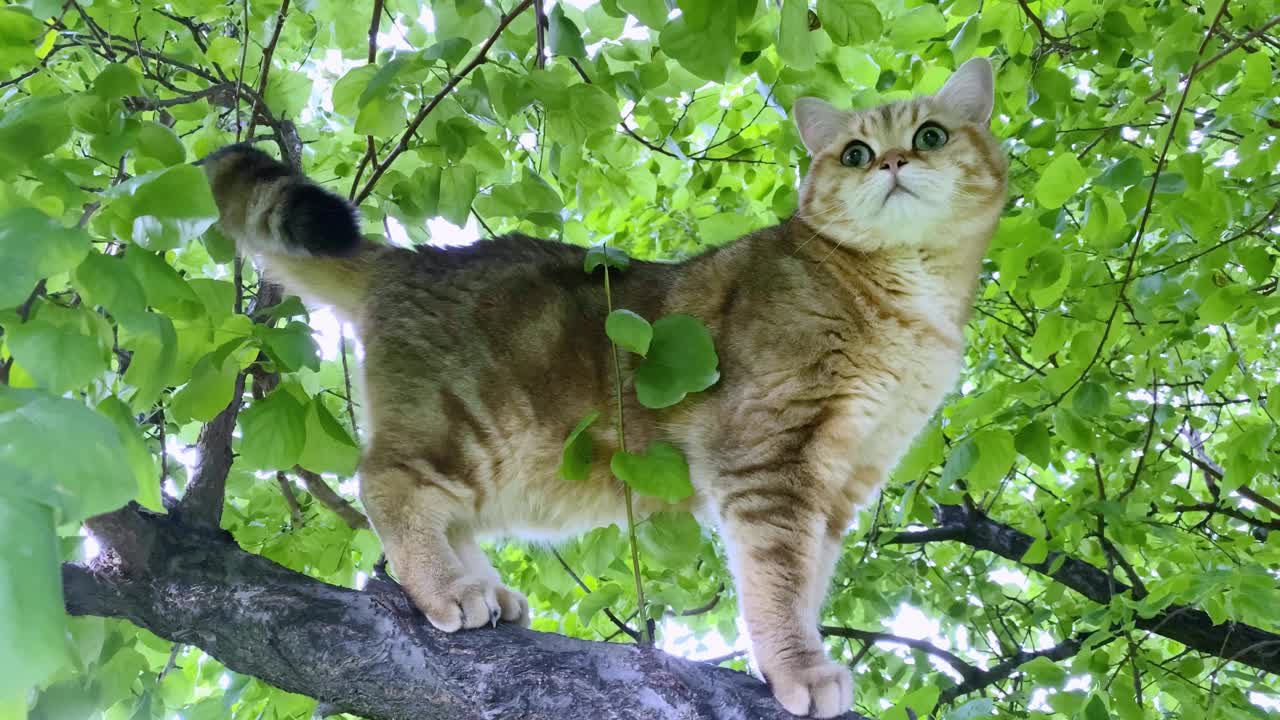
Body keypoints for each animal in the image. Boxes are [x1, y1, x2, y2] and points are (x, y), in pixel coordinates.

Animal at [199, 58, 1003, 712]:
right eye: (855, 153)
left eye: (931, 136)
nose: (891, 161)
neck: (908, 301)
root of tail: (416, 258)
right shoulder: (772, 460)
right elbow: (777, 581)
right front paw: (796, 668)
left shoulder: (840, 482)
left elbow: (805, 582)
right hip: (468, 428)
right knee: (389, 484)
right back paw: (450, 589)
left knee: (444, 513)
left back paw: (484, 587)